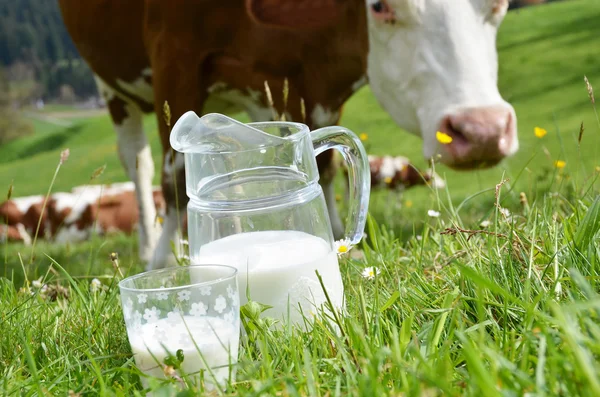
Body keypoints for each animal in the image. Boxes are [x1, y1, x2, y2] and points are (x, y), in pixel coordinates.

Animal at [59, 0, 520, 270]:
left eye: (498, 4)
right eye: (379, 6)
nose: (483, 130)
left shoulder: (318, 84)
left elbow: (326, 163)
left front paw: (340, 237)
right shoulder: (174, 55)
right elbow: (173, 176)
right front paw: (164, 263)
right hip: (113, 88)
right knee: (138, 161)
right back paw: (151, 246)